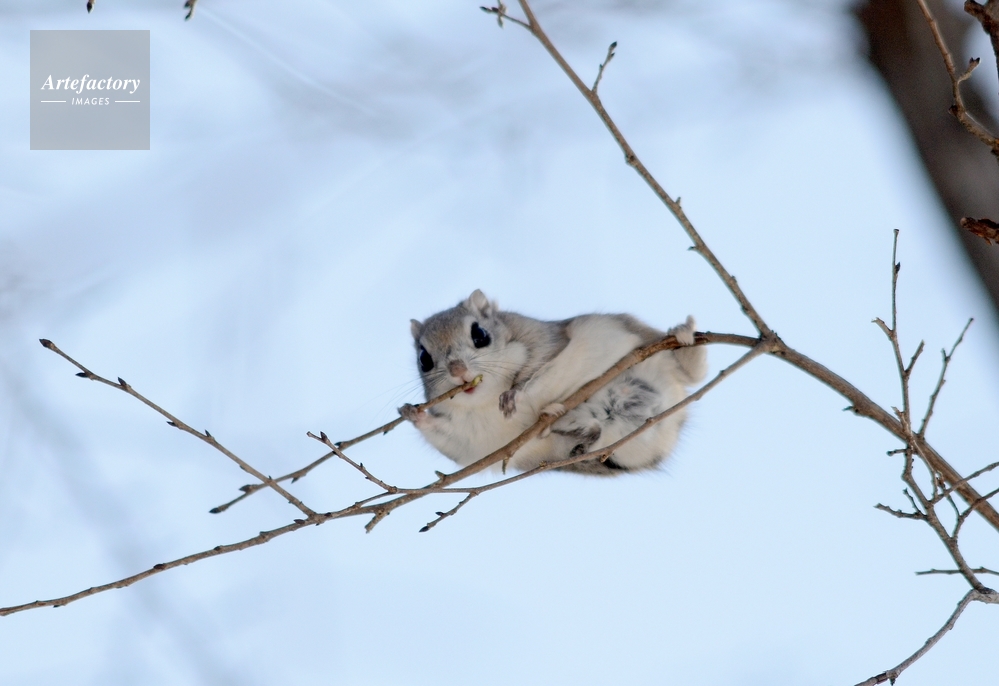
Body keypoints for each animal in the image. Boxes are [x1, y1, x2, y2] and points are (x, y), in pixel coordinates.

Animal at [399, 290, 707, 475]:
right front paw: (412, 413)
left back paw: (685, 336)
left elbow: (535, 370)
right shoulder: (469, 442)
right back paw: (562, 423)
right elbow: (447, 436)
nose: (458, 370)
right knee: (592, 439)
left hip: (653, 350)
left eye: (480, 335)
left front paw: (513, 395)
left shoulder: (544, 341)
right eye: (424, 359)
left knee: (692, 373)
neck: (484, 400)